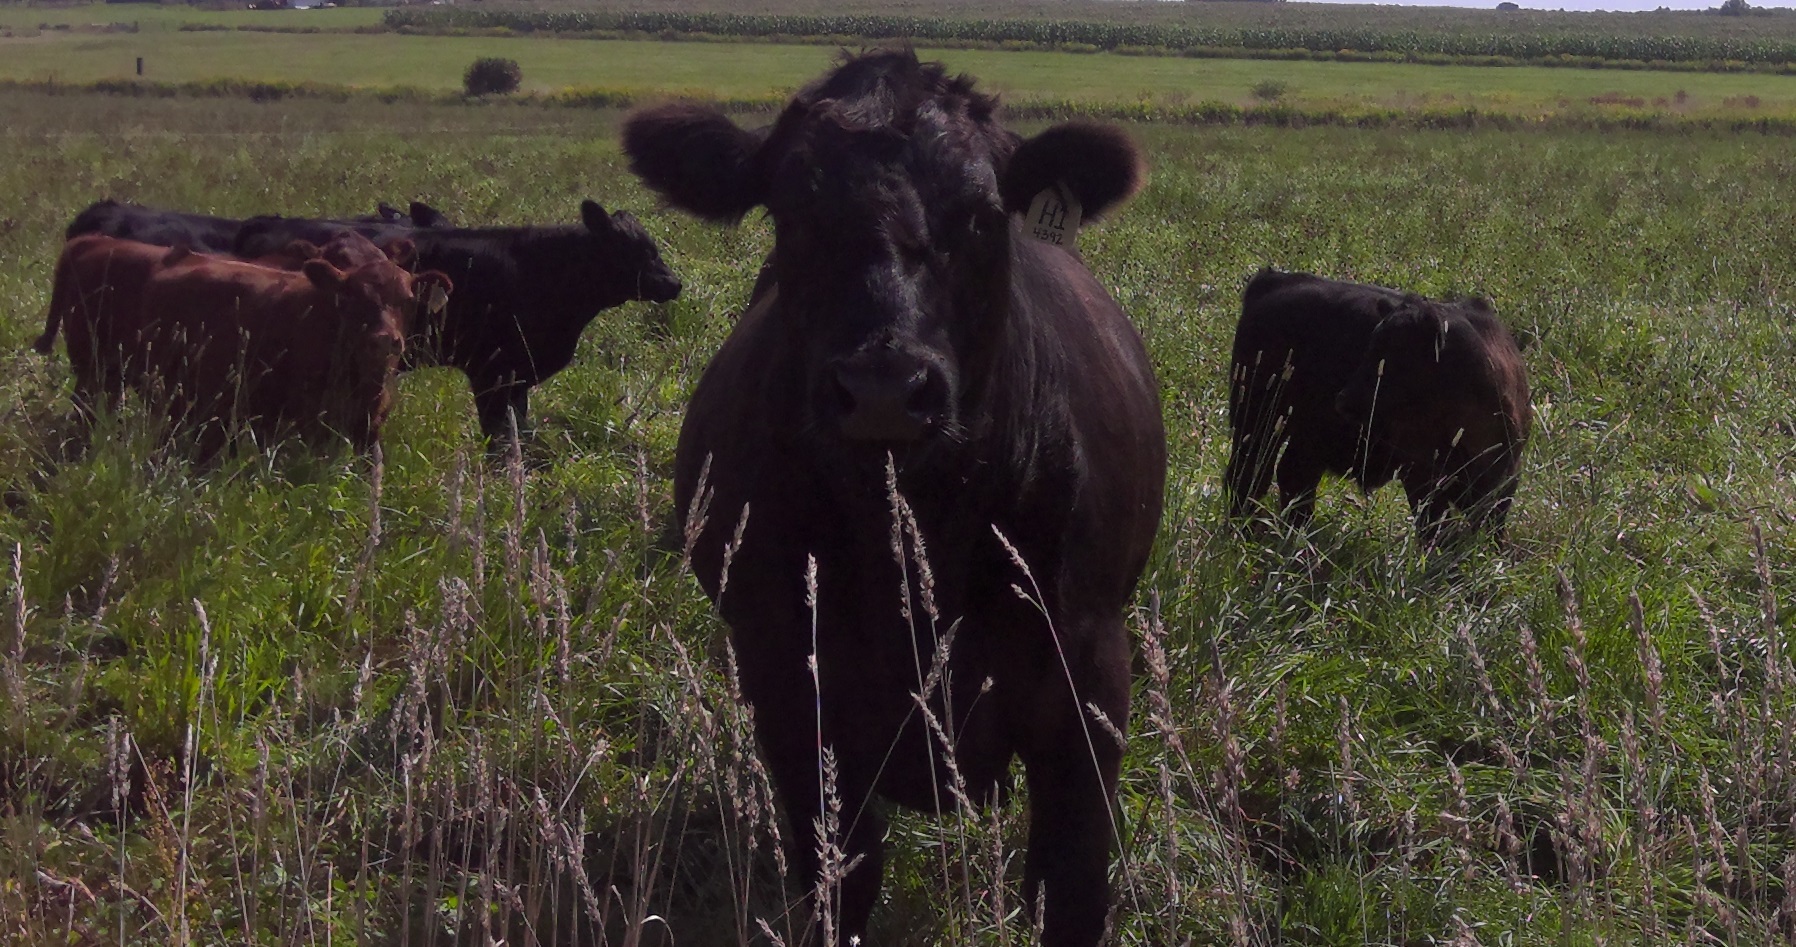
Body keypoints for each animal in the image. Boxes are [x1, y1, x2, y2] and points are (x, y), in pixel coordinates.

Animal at [235, 200, 682, 445]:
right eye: (634, 249)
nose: (674, 283)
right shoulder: (492, 371)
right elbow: (499, 436)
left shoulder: (517, 375)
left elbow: (520, 428)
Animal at [625, 48, 1170, 941]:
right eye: (791, 210)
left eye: (984, 214)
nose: (884, 388)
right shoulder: (787, 682)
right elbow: (840, 879)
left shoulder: (1088, 675)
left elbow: (1074, 885)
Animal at [1221, 271, 1530, 546]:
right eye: (1371, 345)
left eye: (1399, 357)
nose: (1344, 401)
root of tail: (1275, 279)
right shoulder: (1421, 477)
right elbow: (1434, 531)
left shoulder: (1504, 482)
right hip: (1257, 423)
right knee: (1249, 477)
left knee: (1293, 478)